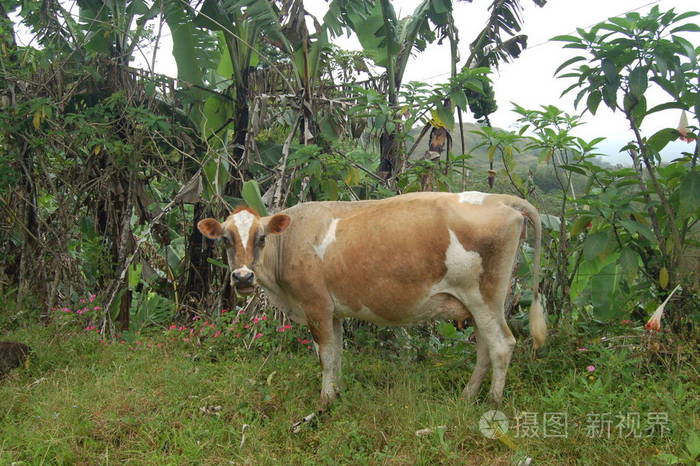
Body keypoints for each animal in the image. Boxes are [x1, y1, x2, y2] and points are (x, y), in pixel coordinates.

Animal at [197, 191, 548, 406]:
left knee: (501, 345)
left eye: (261, 238)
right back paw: (467, 396)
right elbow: (337, 355)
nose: (243, 277)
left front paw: (324, 401)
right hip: (480, 304)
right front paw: (336, 394)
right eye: (225, 239)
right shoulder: (334, 311)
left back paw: (492, 402)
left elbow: (325, 356)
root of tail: (500, 198)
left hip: (483, 297)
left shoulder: (316, 306)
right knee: (485, 348)